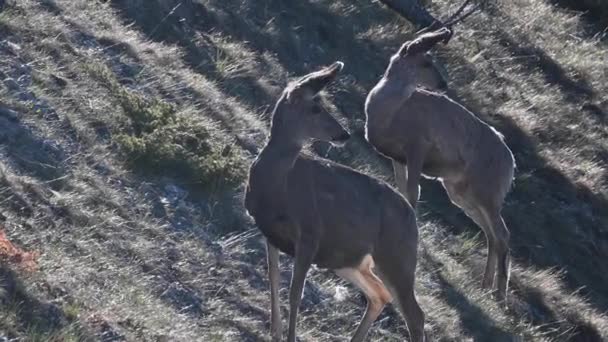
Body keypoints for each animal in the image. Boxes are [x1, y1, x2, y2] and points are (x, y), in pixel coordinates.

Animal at [245, 61, 426, 342]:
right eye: (315, 108)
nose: (344, 134)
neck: (278, 186)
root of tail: (412, 217)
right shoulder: (269, 232)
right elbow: (273, 278)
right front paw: (274, 332)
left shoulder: (310, 233)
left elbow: (296, 293)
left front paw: (290, 336)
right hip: (349, 260)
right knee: (379, 294)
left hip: (397, 255)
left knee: (415, 314)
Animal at [364, 22, 516, 300]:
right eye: (426, 62)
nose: (443, 83)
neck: (390, 113)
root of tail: (511, 164)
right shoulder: (398, 158)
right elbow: (402, 190)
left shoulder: (418, 145)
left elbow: (413, 192)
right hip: (460, 191)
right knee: (491, 234)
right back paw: (484, 286)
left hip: (486, 190)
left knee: (503, 233)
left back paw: (499, 294)